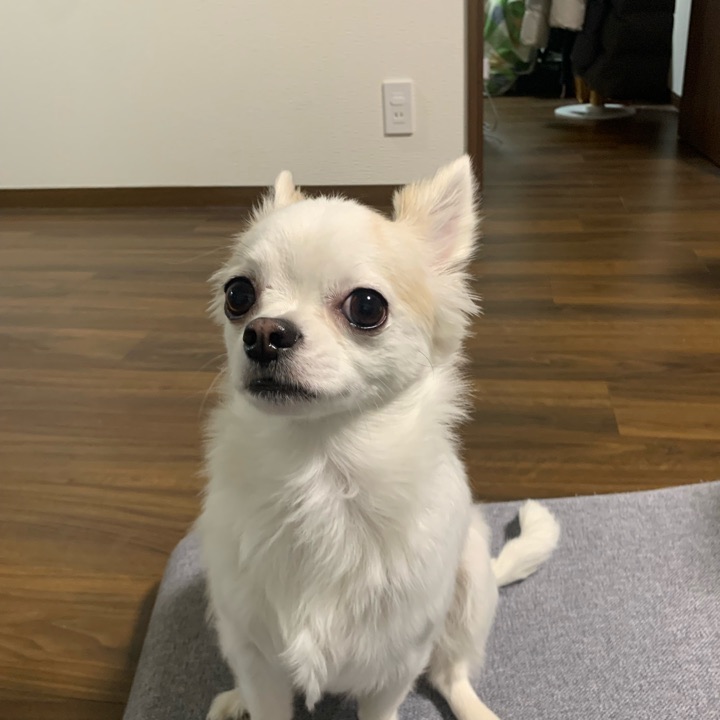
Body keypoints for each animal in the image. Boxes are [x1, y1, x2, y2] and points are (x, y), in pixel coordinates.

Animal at [198, 156, 560, 720]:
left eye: (366, 307)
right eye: (238, 295)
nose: (263, 333)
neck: (319, 469)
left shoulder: (395, 665)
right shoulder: (256, 656)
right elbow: (263, 695)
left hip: (470, 588)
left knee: (451, 672)